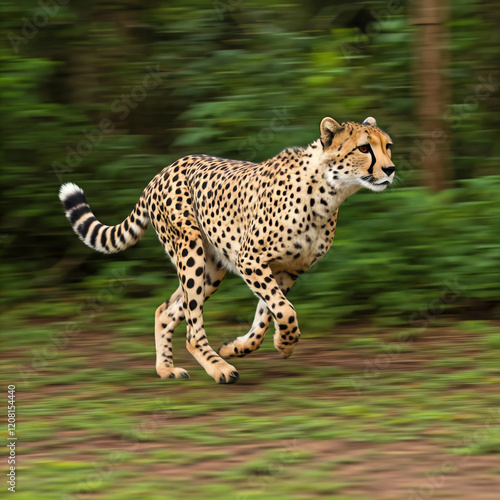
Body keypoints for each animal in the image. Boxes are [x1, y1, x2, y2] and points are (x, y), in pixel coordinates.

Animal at [59, 116, 394, 382]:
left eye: (388, 146)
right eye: (364, 148)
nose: (390, 169)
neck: (328, 192)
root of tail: (164, 170)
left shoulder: (285, 271)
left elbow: (267, 315)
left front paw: (245, 346)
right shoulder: (251, 260)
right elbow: (284, 310)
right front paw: (284, 342)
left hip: (212, 268)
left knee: (166, 310)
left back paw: (167, 369)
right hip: (191, 252)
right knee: (192, 329)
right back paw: (219, 369)